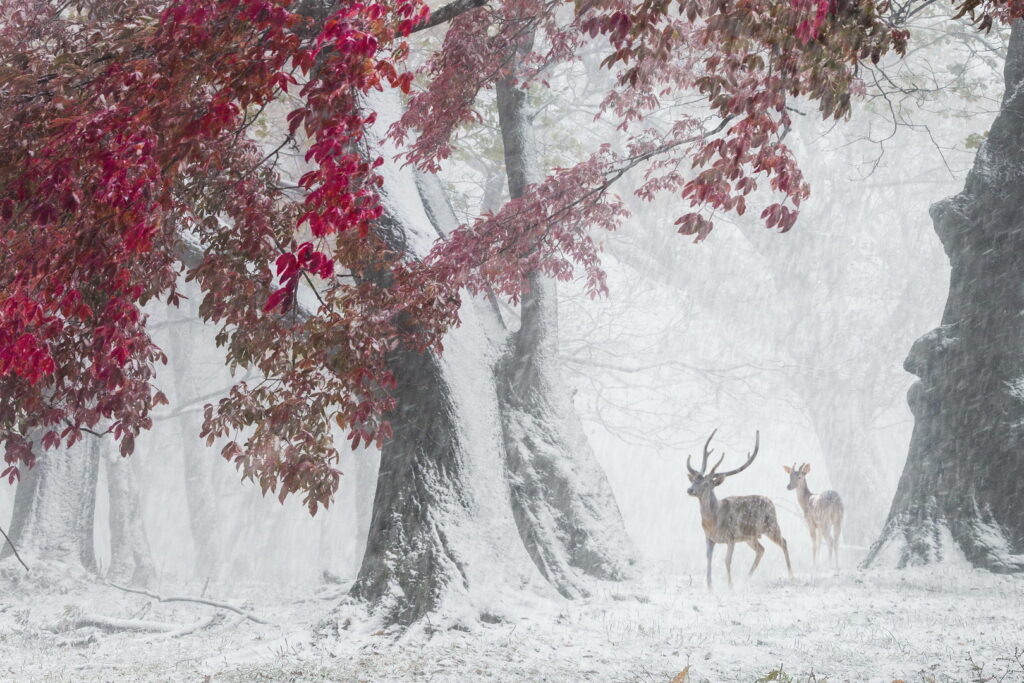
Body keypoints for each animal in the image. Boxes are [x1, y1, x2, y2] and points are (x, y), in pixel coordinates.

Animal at [686, 429, 792, 590]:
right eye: (693, 480)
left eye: (706, 484)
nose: (689, 490)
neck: (713, 522)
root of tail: (770, 501)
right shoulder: (709, 538)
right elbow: (708, 559)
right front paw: (710, 587)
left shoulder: (731, 536)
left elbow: (727, 560)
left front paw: (730, 585)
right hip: (751, 536)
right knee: (761, 549)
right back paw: (747, 577)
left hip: (771, 525)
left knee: (784, 542)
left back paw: (791, 575)